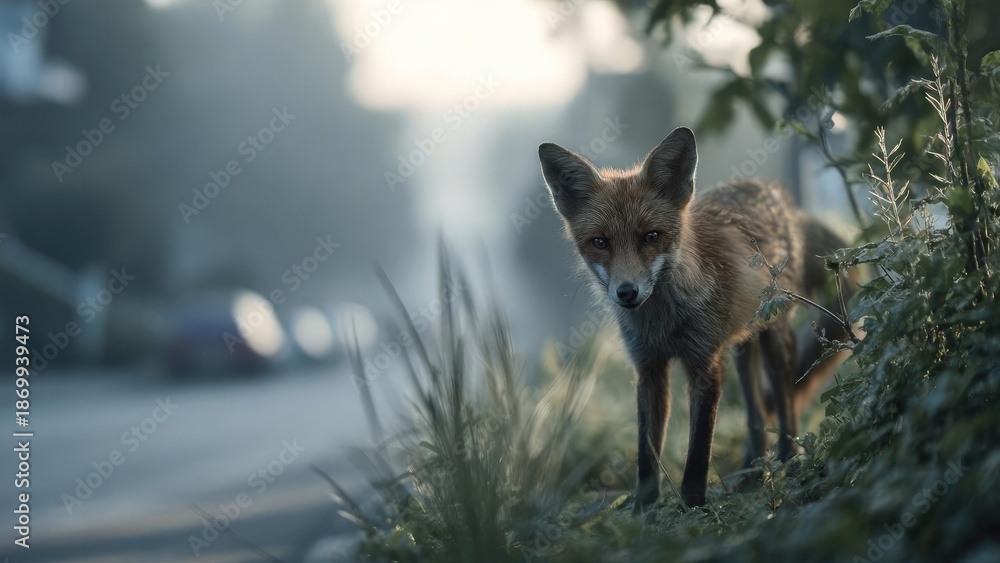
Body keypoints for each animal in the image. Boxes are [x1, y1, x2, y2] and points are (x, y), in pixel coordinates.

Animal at [538, 126, 853, 510]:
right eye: (600, 242)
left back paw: (788, 464)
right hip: (741, 349)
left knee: (785, 406)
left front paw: (693, 505)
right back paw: (751, 475)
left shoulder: (705, 364)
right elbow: (647, 452)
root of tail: (782, 198)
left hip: (775, 341)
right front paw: (644, 509)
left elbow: (699, 448)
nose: (626, 293)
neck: (665, 322)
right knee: (755, 418)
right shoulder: (649, 367)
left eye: (651, 236)